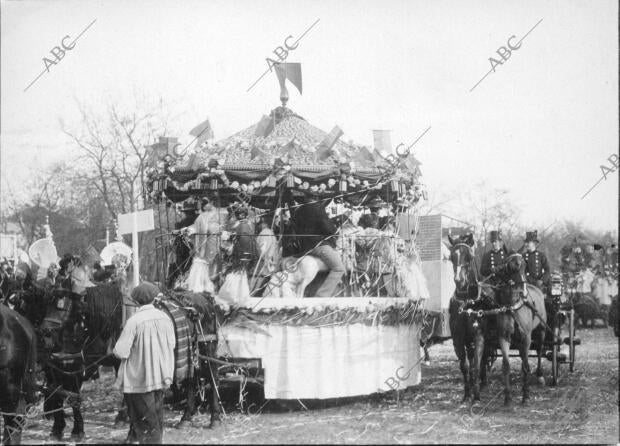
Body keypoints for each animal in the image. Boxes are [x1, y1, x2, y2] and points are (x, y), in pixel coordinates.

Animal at [446, 232, 490, 402]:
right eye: (451, 257)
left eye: (469, 257)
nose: (459, 281)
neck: (466, 304)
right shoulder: (458, 339)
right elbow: (464, 366)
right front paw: (467, 393)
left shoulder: (479, 336)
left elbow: (477, 364)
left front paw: (476, 395)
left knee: (482, 360)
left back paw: (482, 383)